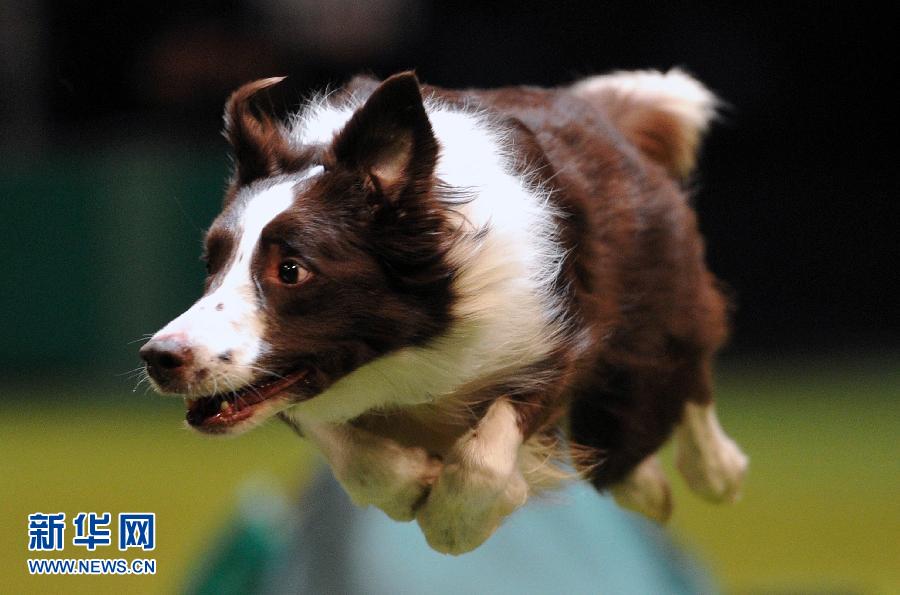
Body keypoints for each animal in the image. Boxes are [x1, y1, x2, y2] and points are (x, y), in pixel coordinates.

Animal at [139, 68, 744, 556]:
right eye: (213, 263)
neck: (410, 342)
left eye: (291, 270)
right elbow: (346, 442)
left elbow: (486, 452)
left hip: (658, 297)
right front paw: (411, 481)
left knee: (678, 372)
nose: (159, 357)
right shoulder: (303, 383)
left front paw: (458, 523)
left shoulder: (556, 331)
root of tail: (603, 117)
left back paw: (711, 468)